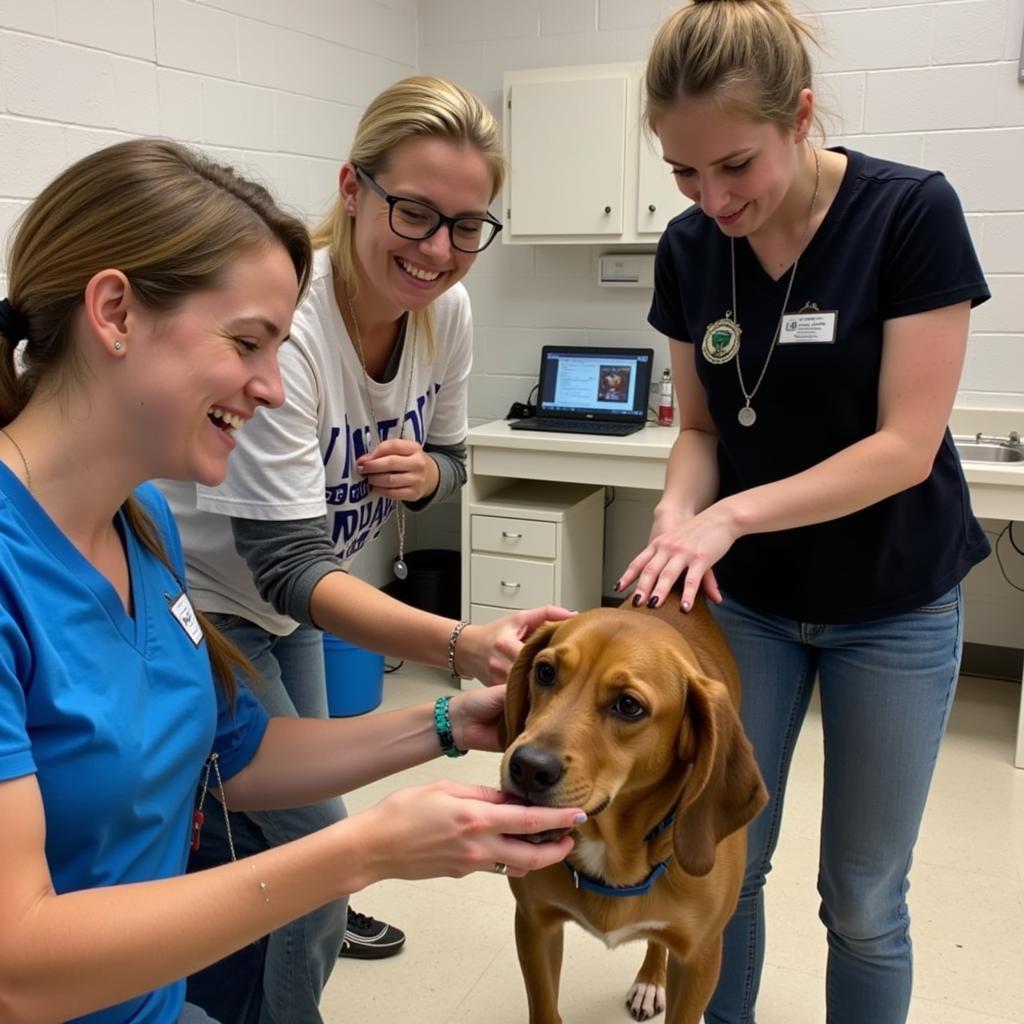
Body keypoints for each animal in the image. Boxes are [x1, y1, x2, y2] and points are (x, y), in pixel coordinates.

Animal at [499, 598, 765, 1019]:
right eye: (545, 671)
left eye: (628, 705)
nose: (528, 767)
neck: (612, 847)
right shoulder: (534, 926)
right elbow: (544, 1008)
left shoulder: (701, 959)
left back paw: (651, 979)